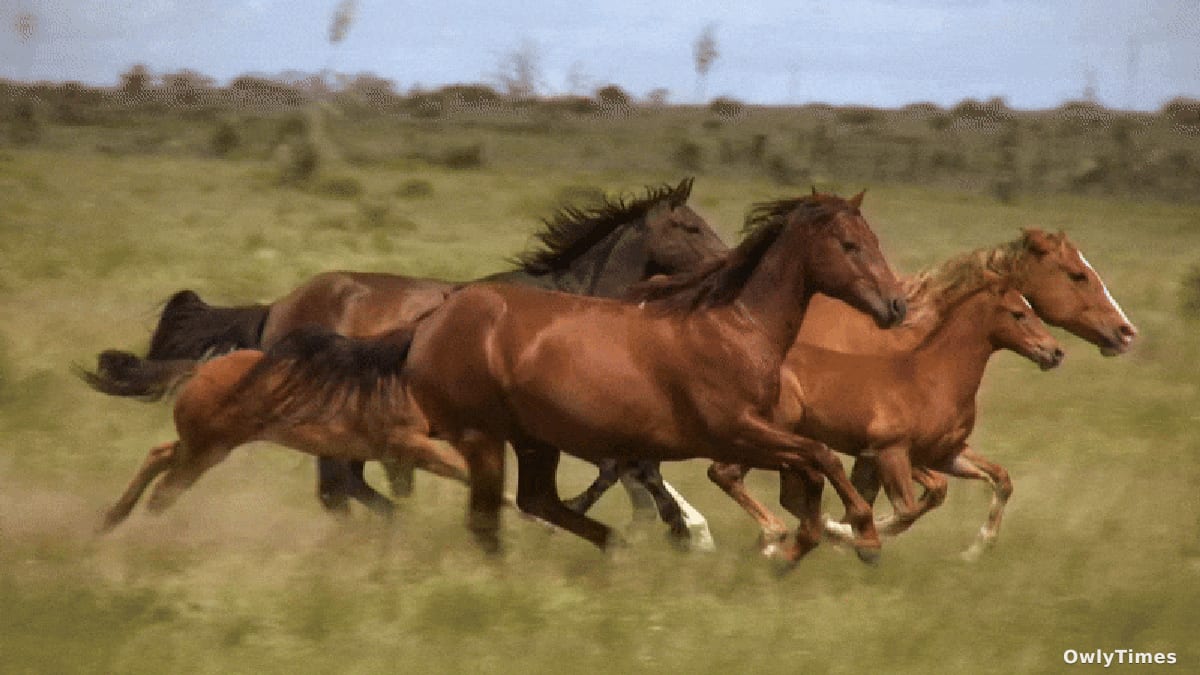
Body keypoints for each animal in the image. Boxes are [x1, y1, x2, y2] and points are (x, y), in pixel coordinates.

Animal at [82, 178, 727, 548]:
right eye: (690, 225)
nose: (730, 264)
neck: (563, 301)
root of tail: (276, 307)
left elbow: (628, 467)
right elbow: (629, 467)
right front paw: (683, 531)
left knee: (342, 487)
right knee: (337, 488)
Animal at [395, 191, 907, 564]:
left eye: (875, 241)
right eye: (850, 245)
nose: (897, 305)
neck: (736, 327)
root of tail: (431, 321)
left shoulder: (748, 432)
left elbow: (811, 464)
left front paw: (811, 536)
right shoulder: (734, 431)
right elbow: (819, 457)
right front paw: (856, 532)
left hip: (529, 438)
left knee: (530, 498)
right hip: (487, 432)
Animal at [706, 270, 1065, 558]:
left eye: (1032, 308)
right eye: (1018, 314)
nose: (1055, 352)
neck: (935, 379)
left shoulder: (945, 454)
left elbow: (998, 479)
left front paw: (976, 549)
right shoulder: (891, 452)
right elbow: (907, 509)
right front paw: (847, 533)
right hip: (765, 434)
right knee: (725, 473)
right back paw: (774, 537)